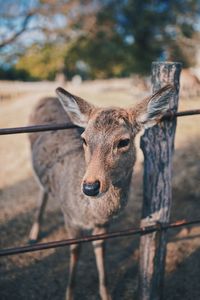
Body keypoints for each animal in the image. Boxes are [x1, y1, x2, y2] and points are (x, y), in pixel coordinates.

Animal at [28, 84, 174, 300]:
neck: (92, 214)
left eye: (123, 141)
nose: (90, 186)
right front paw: (69, 294)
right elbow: (75, 251)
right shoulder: (70, 218)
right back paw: (33, 235)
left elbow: (100, 251)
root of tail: (45, 98)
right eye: (84, 139)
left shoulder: (105, 225)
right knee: (41, 190)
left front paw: (106, 294)